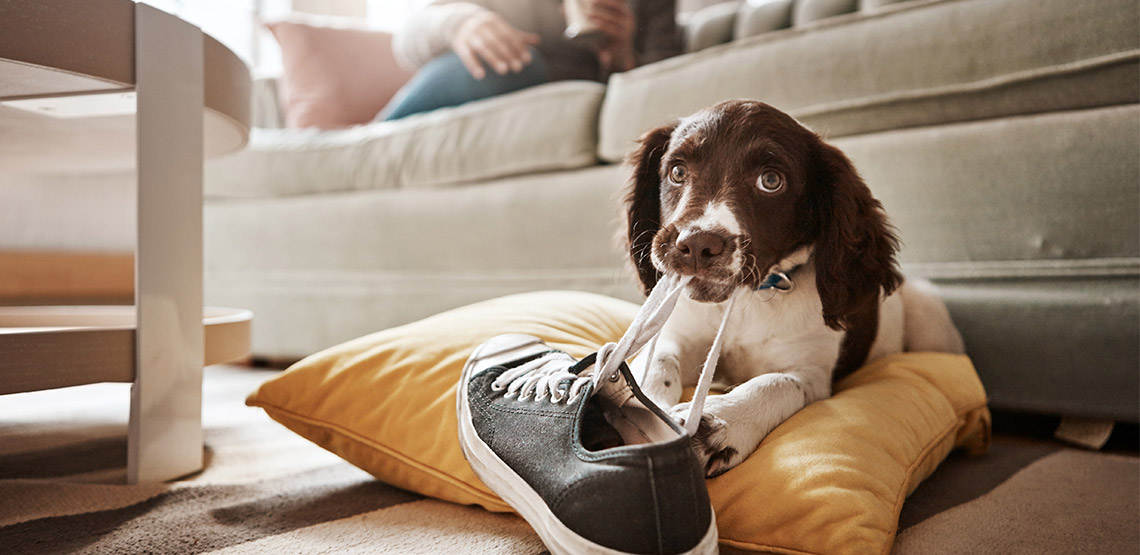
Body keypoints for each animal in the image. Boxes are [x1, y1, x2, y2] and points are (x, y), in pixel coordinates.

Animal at [624, 100, 962, 478]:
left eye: (771, 181)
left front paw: (716, 425)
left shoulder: (812, 375)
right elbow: (657, 360)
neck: (748, 301)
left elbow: (775, 384)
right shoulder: (680, 333)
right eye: (677, 172)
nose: (696, 245)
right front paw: (643, 404)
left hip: (929, 314)